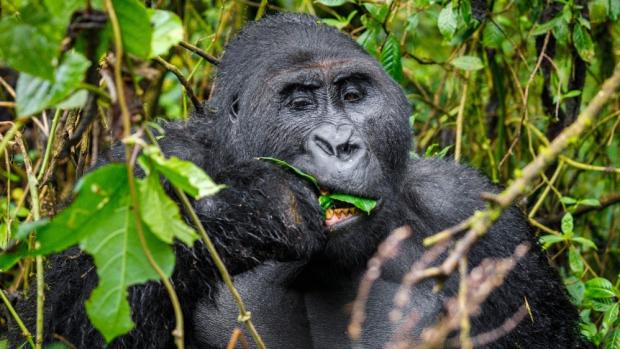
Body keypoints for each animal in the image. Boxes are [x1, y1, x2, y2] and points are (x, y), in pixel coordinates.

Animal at [12, 12, 588, 346]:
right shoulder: (140, 170)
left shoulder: (478, 220)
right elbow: (65, 323)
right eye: (300, 103)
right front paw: (249, 213)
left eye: (353, 96)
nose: (339, 142)